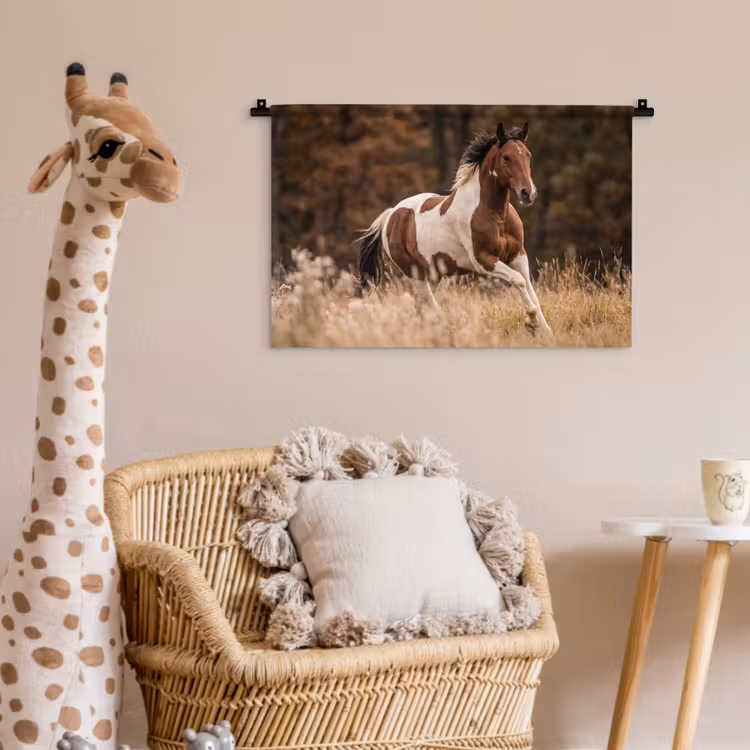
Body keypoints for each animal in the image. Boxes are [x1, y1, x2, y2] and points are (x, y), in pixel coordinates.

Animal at [358, 122, 550, 333]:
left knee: (420, 305)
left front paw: (545, 331)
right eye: (506, 157)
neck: (495, 215)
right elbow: (518, 280)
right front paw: (531, 321)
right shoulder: (483, 260)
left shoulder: (518, 255)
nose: (528, 193)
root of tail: (391, 215)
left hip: (432, 275)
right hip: (415, 272)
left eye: (528, 155)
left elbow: (531, 291)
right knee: (427, 303)